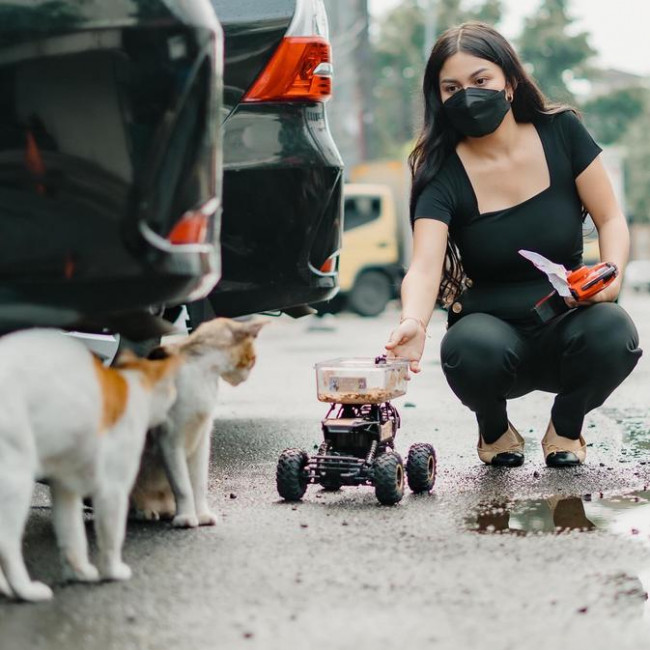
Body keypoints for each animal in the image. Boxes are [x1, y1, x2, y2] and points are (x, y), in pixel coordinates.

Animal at [0, 330, 180, 604]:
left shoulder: (65, 486)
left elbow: (72, 535)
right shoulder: (113, 488)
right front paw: (112, 570)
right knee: (6, 542)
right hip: (17, 478)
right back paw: (26, 590)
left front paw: (81, 572)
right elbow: (112, 536)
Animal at [130, 318, 264, 528]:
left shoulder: (202, 439)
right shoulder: (169, 440)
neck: (202, 375)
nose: (247, 376)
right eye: (252, 359)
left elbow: (198, 484)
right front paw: (185, 517)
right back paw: (143, 511)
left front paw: (201, 514)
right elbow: (183, 486)